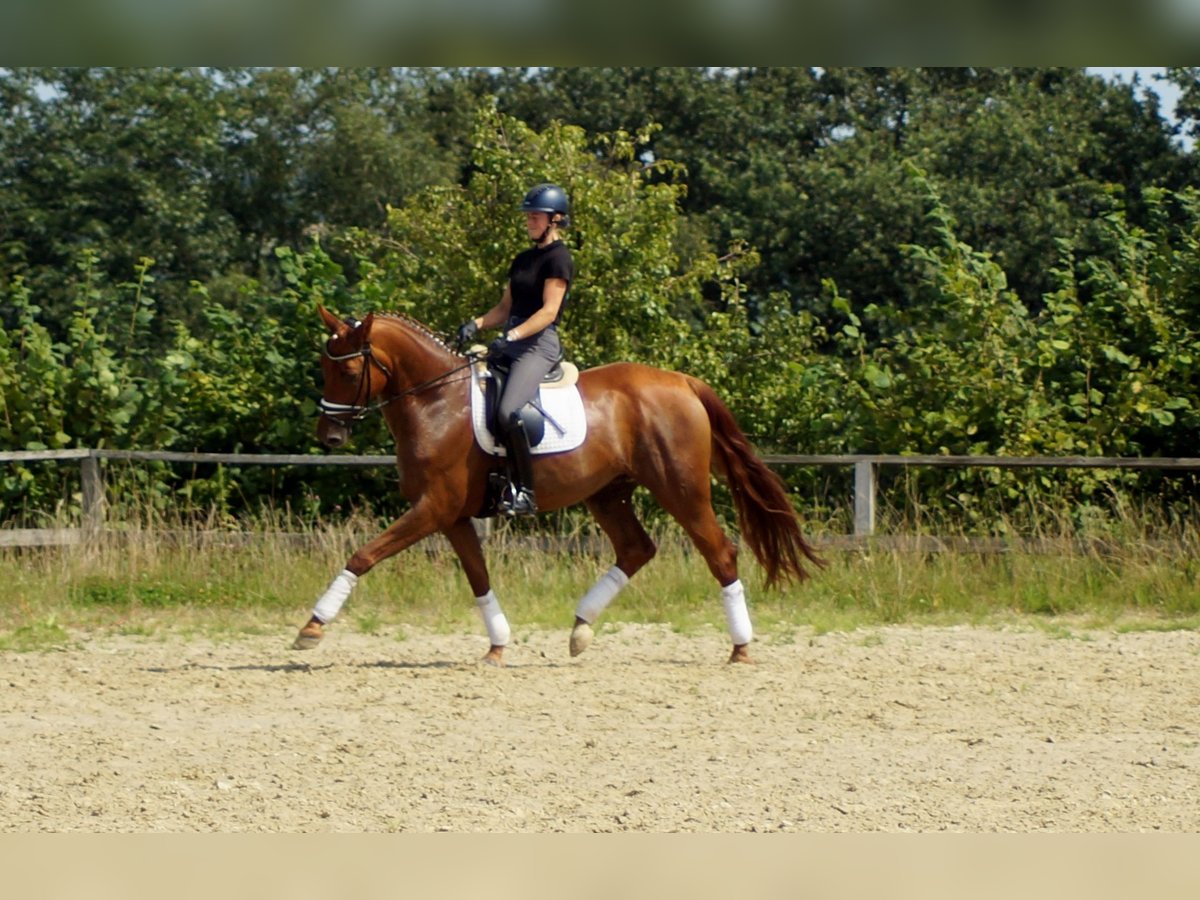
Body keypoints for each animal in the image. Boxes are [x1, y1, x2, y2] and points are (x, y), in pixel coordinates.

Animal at [296, 307, 825, 667]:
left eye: (347, 370)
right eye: (323, 367)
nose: (329, 435)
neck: (435, 401)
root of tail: (681, 381)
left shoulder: (433, 508)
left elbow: (364, 554)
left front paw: (312, 627)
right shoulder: (453, 516)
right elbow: (479, 578)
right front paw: (497, 646)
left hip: (681, 490)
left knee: (720, 552)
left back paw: (740, 648)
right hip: (607, 492)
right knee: (636, 548)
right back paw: (580, 630)